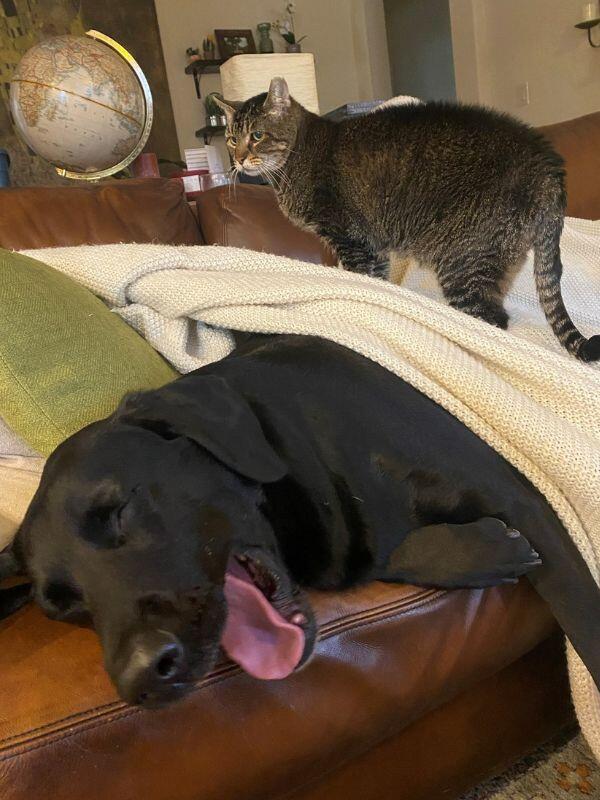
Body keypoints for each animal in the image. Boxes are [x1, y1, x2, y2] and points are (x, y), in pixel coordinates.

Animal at [2, 334, 596, 708]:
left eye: (119, 508)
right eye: (61, 607)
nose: (141, 680)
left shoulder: (515, 490)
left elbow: (580, 613)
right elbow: (390, 553)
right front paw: (484, 550)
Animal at [217, 77, 600, 360]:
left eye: (257, 135)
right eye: (232, 138)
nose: (238, 159)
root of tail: (548, 165)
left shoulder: (348, 238)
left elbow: (361, 280)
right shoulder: (372, 245)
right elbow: (380, 283)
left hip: (464, 261)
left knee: (491, 322)